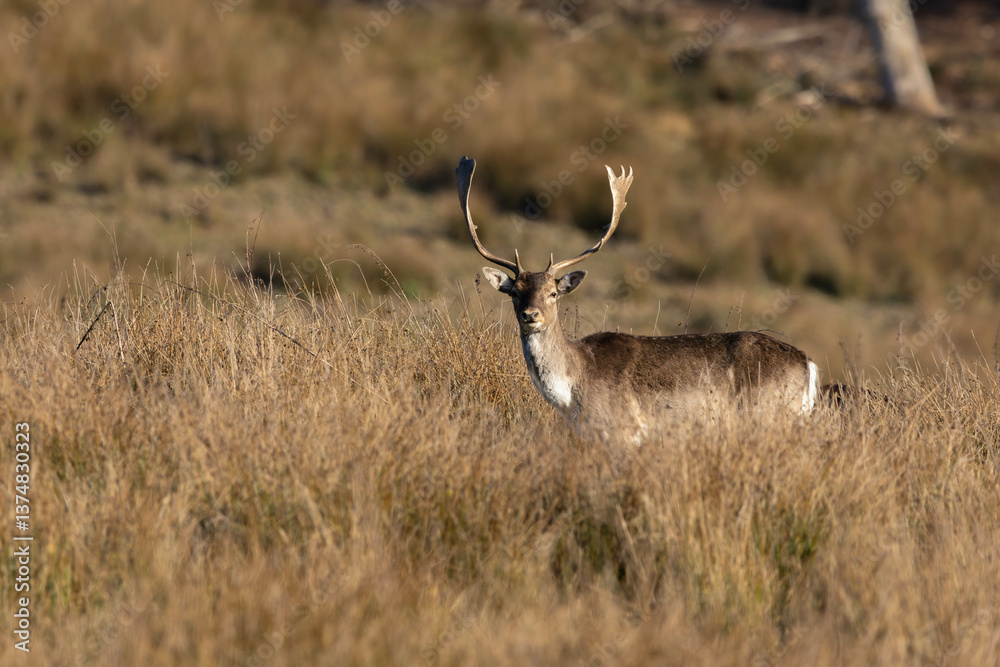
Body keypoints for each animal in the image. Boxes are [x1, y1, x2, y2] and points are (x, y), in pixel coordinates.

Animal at [455, 156, 820, 444]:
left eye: (553, 293)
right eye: (515, 292)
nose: (531, 315)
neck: (572, 393)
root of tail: (809, 365)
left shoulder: (623, 430)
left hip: (771, 414)